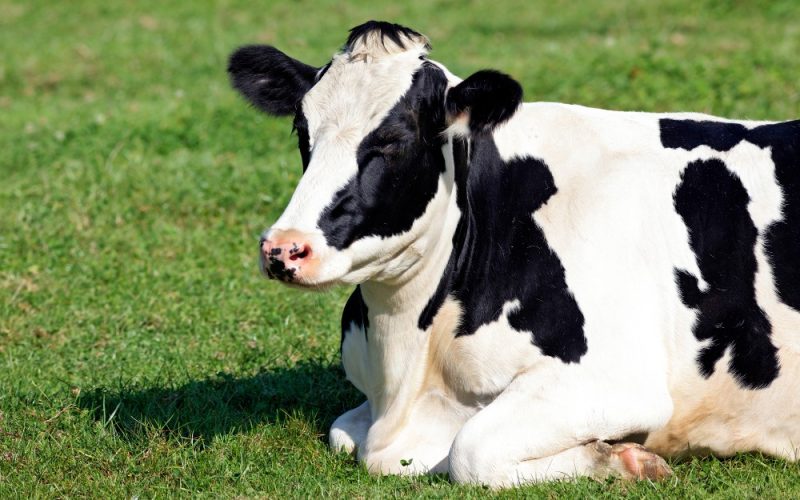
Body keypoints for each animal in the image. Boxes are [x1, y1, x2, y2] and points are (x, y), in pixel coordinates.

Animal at [228, 21, 800, 487]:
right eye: (302, 130)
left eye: (394, 140)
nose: (284, 248)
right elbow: (342, 431)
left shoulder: (616, 381)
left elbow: (471, 452)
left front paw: (625, 460)